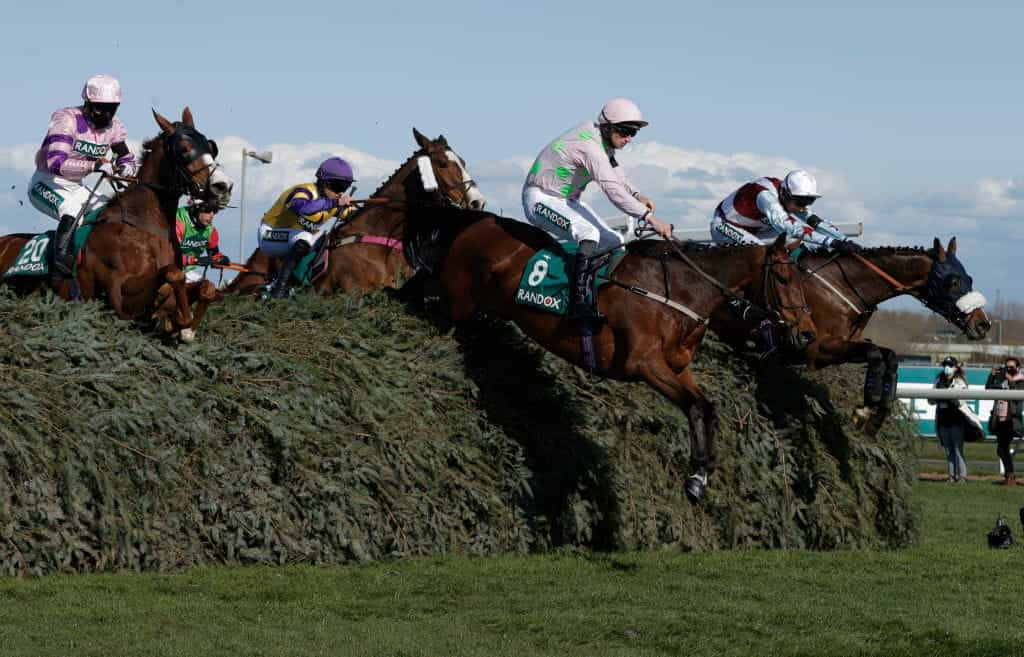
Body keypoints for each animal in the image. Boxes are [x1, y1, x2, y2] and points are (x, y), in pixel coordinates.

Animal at [0, 107, 232, 339]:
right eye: (183, 149)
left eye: (210, 146)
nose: (223, 186)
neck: (145, 227)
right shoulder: (119, 300)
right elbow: (173, 275)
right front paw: (179, 320)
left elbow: (205, 287)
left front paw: (183, 325)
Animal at [403, 209, 819, 501]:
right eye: (784, 279)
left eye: (803, 281)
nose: (806, 333)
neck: (679, 290)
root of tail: (479, 221)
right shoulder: (644, 363)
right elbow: (693, 407)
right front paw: (696, 476)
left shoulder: (678, 366)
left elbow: (706, 407)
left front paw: (701, 475)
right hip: (456, 299)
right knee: (421, 292)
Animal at [708, 237, 987, 431]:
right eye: (953, 281)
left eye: (970, 278)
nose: (983, 324)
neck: (845, 286)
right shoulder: (816, 348)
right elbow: (874, 354)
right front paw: (866, 407)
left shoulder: (848, 342)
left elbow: (889, 356)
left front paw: (876, 412)